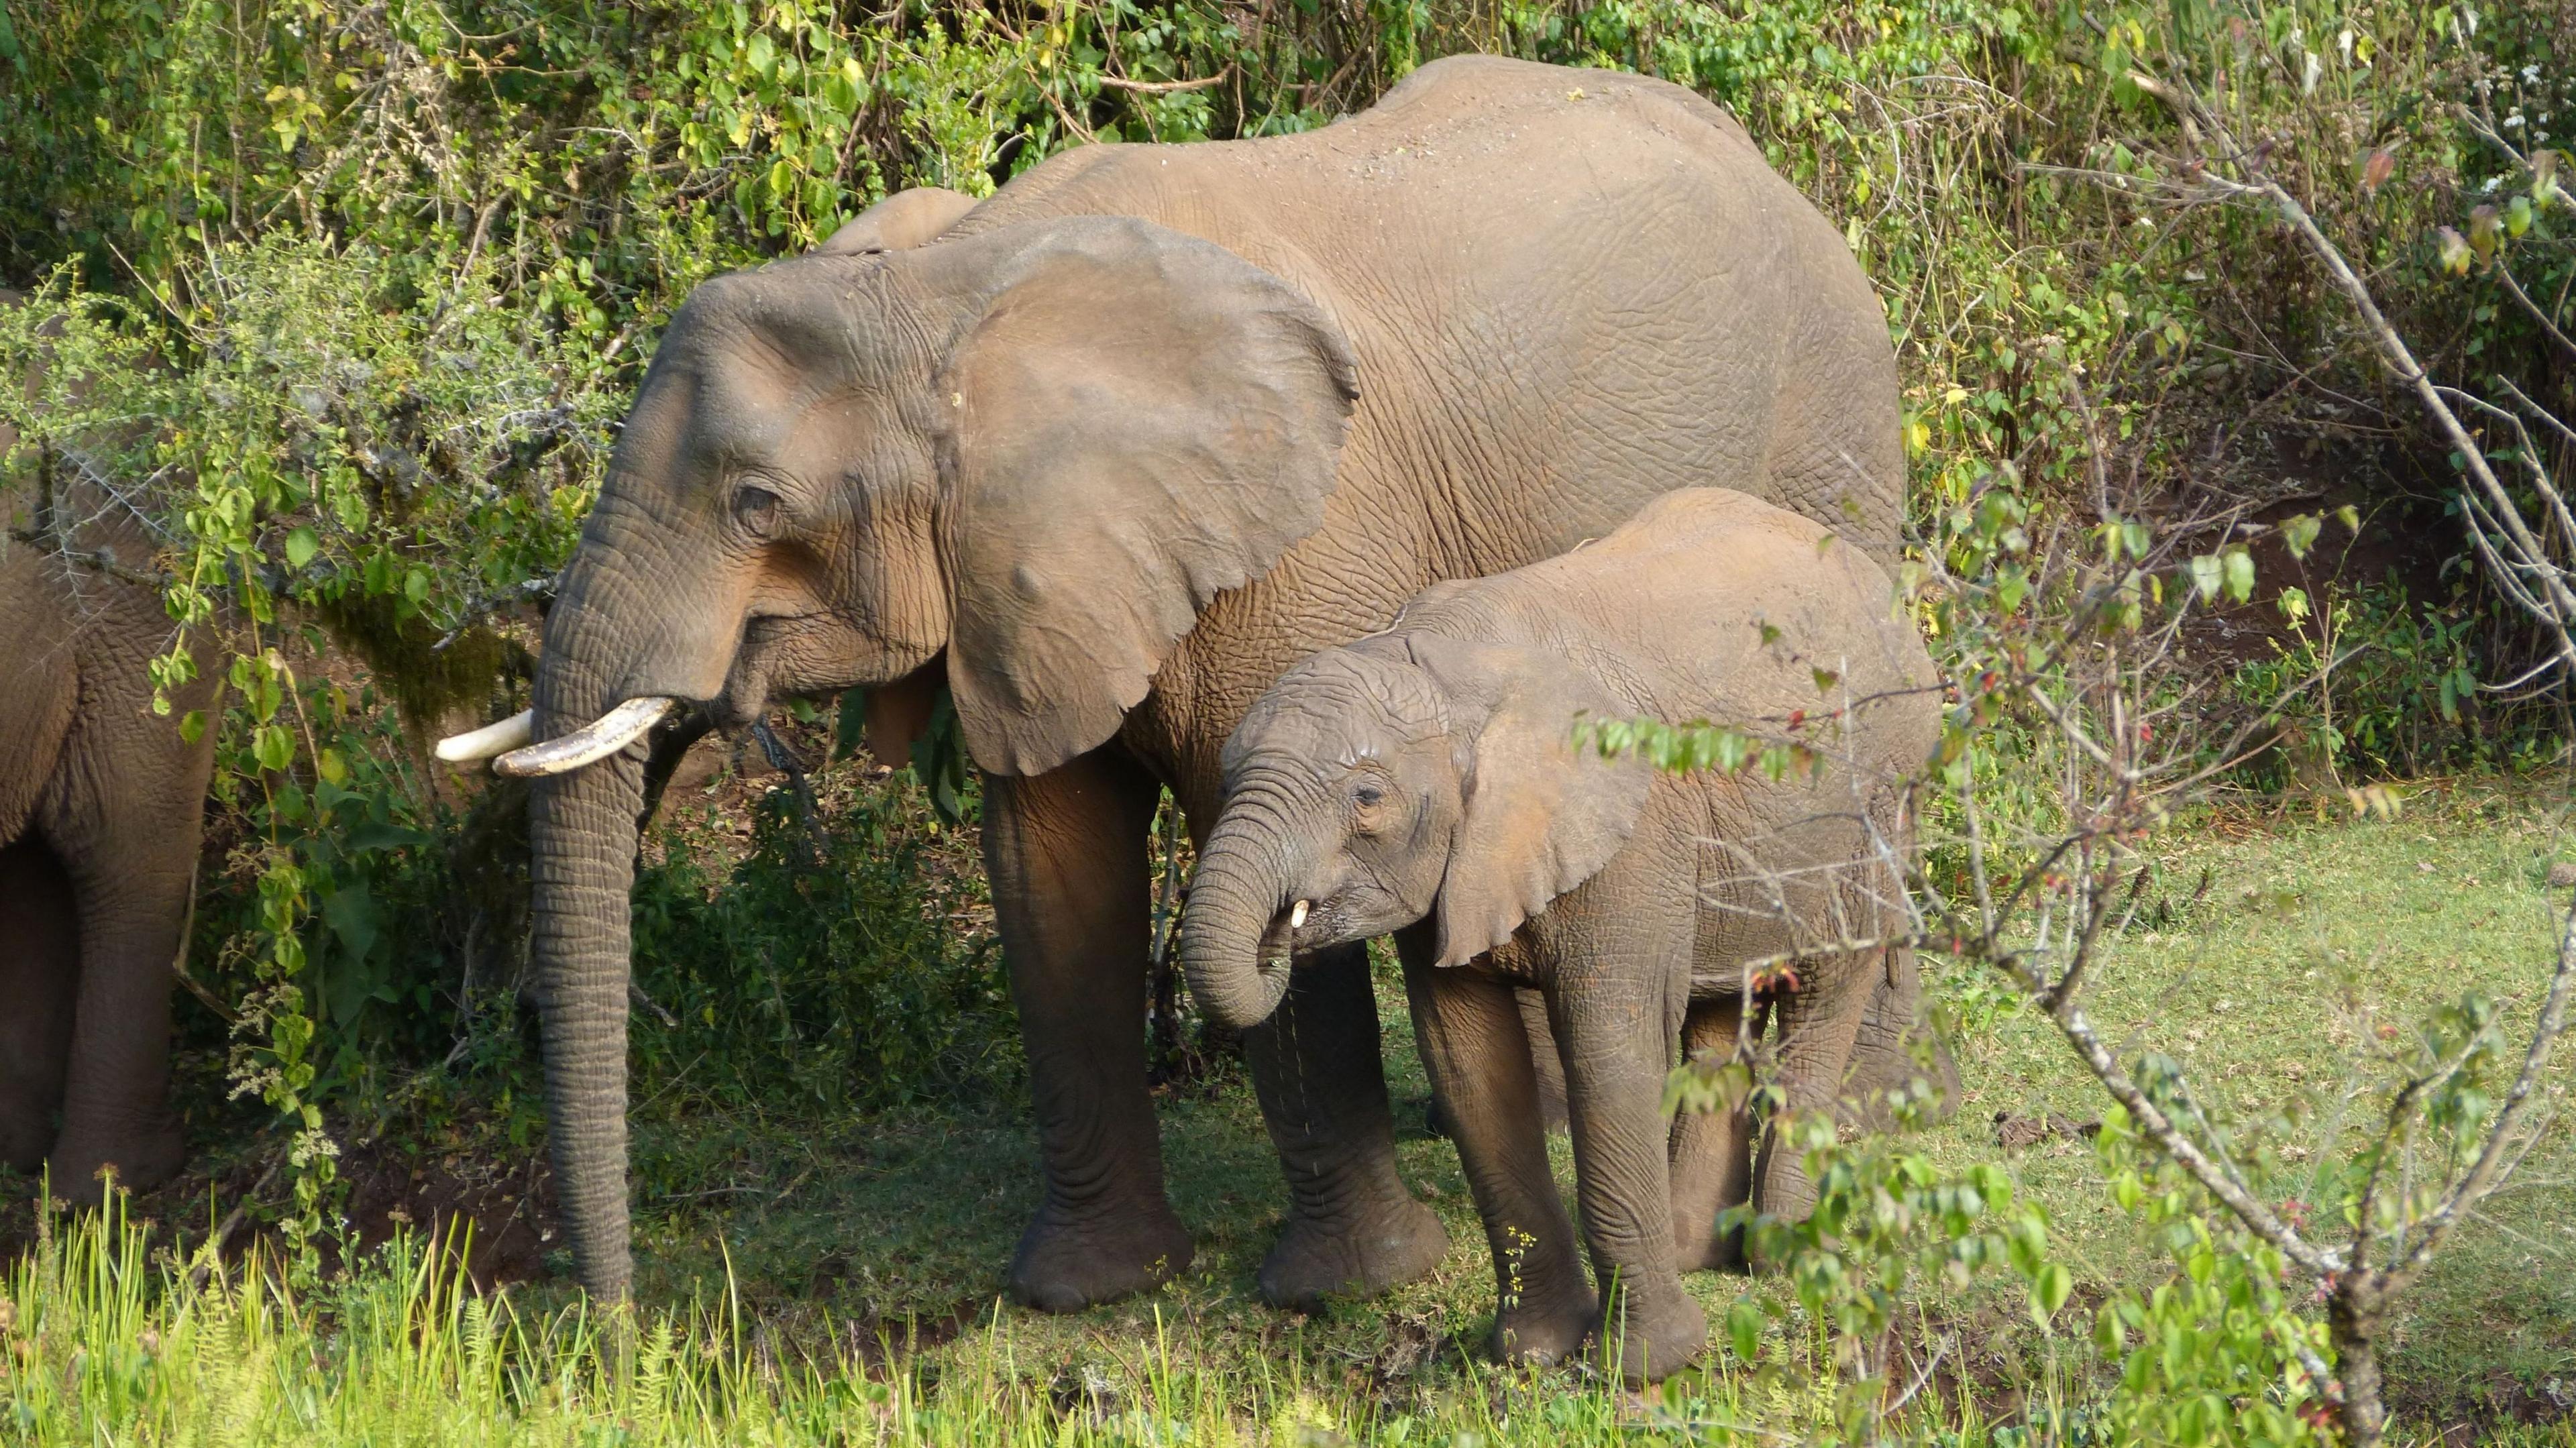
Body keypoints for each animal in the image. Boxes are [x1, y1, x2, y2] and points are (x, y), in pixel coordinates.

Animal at [436, 54, 1915, 1309]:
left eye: (756, 502)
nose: (612, 1326)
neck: (950, 290)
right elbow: (1050, 863)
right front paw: (1087, 1285)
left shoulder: (1304, 541)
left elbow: (1240, 829)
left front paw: (1343, 1288)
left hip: (1836, 442)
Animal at [1179, 489, 1945, 1381]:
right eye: (1225, 779)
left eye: (1366, 797)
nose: (1281, 932)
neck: (1447, 670)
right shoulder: (1461, 868)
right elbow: (1470, 1065)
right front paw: (1532, 1353)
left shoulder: (1631, 835)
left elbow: (1611, 1053)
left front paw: (1647, 1366)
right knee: (1715, 1009)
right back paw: (1698, 1251)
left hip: (1875, 798)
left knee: (1824, 993)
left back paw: (1782, 1256)